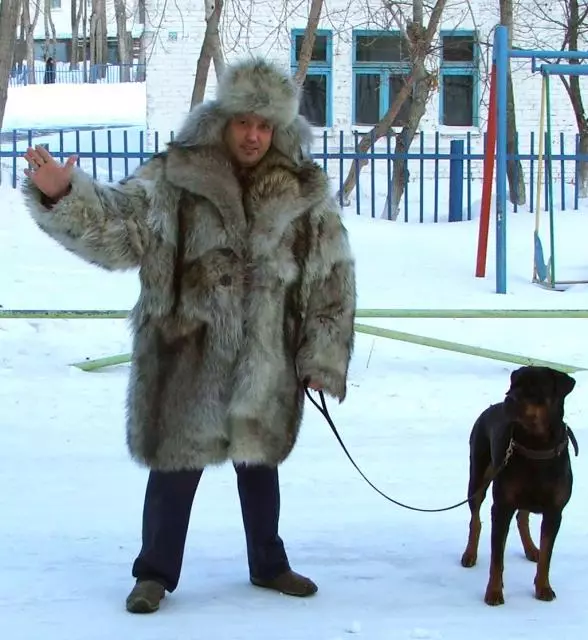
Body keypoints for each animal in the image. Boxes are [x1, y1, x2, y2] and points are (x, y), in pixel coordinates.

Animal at [460, 364, 580, 604]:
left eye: (535, 388)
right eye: (513, 384)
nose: (508, 398)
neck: (536, 445)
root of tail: (490, 409)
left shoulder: (555, 512)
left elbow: (547, 555)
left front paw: (543, 588)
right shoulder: (501, 507)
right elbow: (497, 559)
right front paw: (494, 593)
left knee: (522, 517)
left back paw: (531, 549)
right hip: (477, 475)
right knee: (475, 518)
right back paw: (469, 554)